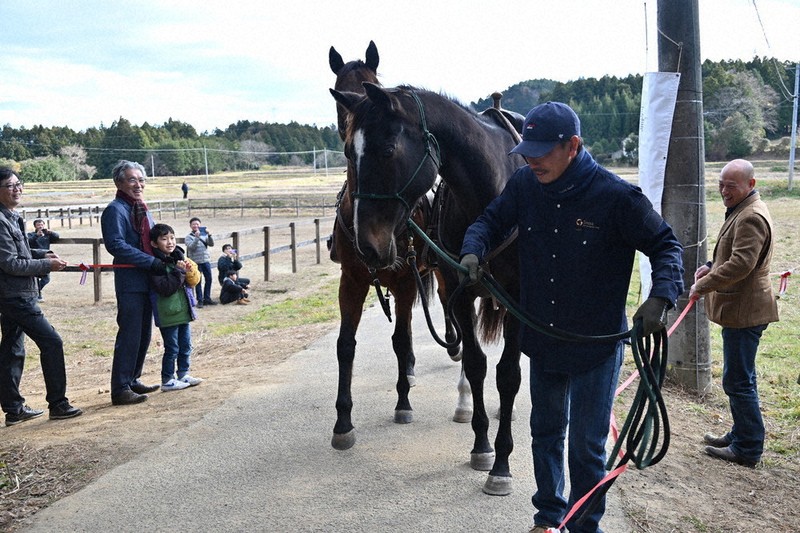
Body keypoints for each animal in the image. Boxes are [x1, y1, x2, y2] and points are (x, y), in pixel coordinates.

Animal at [327, 42, 461, 452]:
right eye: (340, 93)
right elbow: (346, 346)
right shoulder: (352, 280)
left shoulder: (404, 280)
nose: (350, 131)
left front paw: (403, 402)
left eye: (370, 83)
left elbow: (400, 340)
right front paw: (343, 420)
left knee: (445, 301)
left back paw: (452, 344)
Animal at [330, 83, 525, 496]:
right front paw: (481, 444)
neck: (493, 191)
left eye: (388, 150)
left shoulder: (517, 296)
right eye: (348, 152)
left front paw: (501, 463)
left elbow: (508, 375)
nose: (367, 245)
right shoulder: (458, 287)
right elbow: (476, 364)